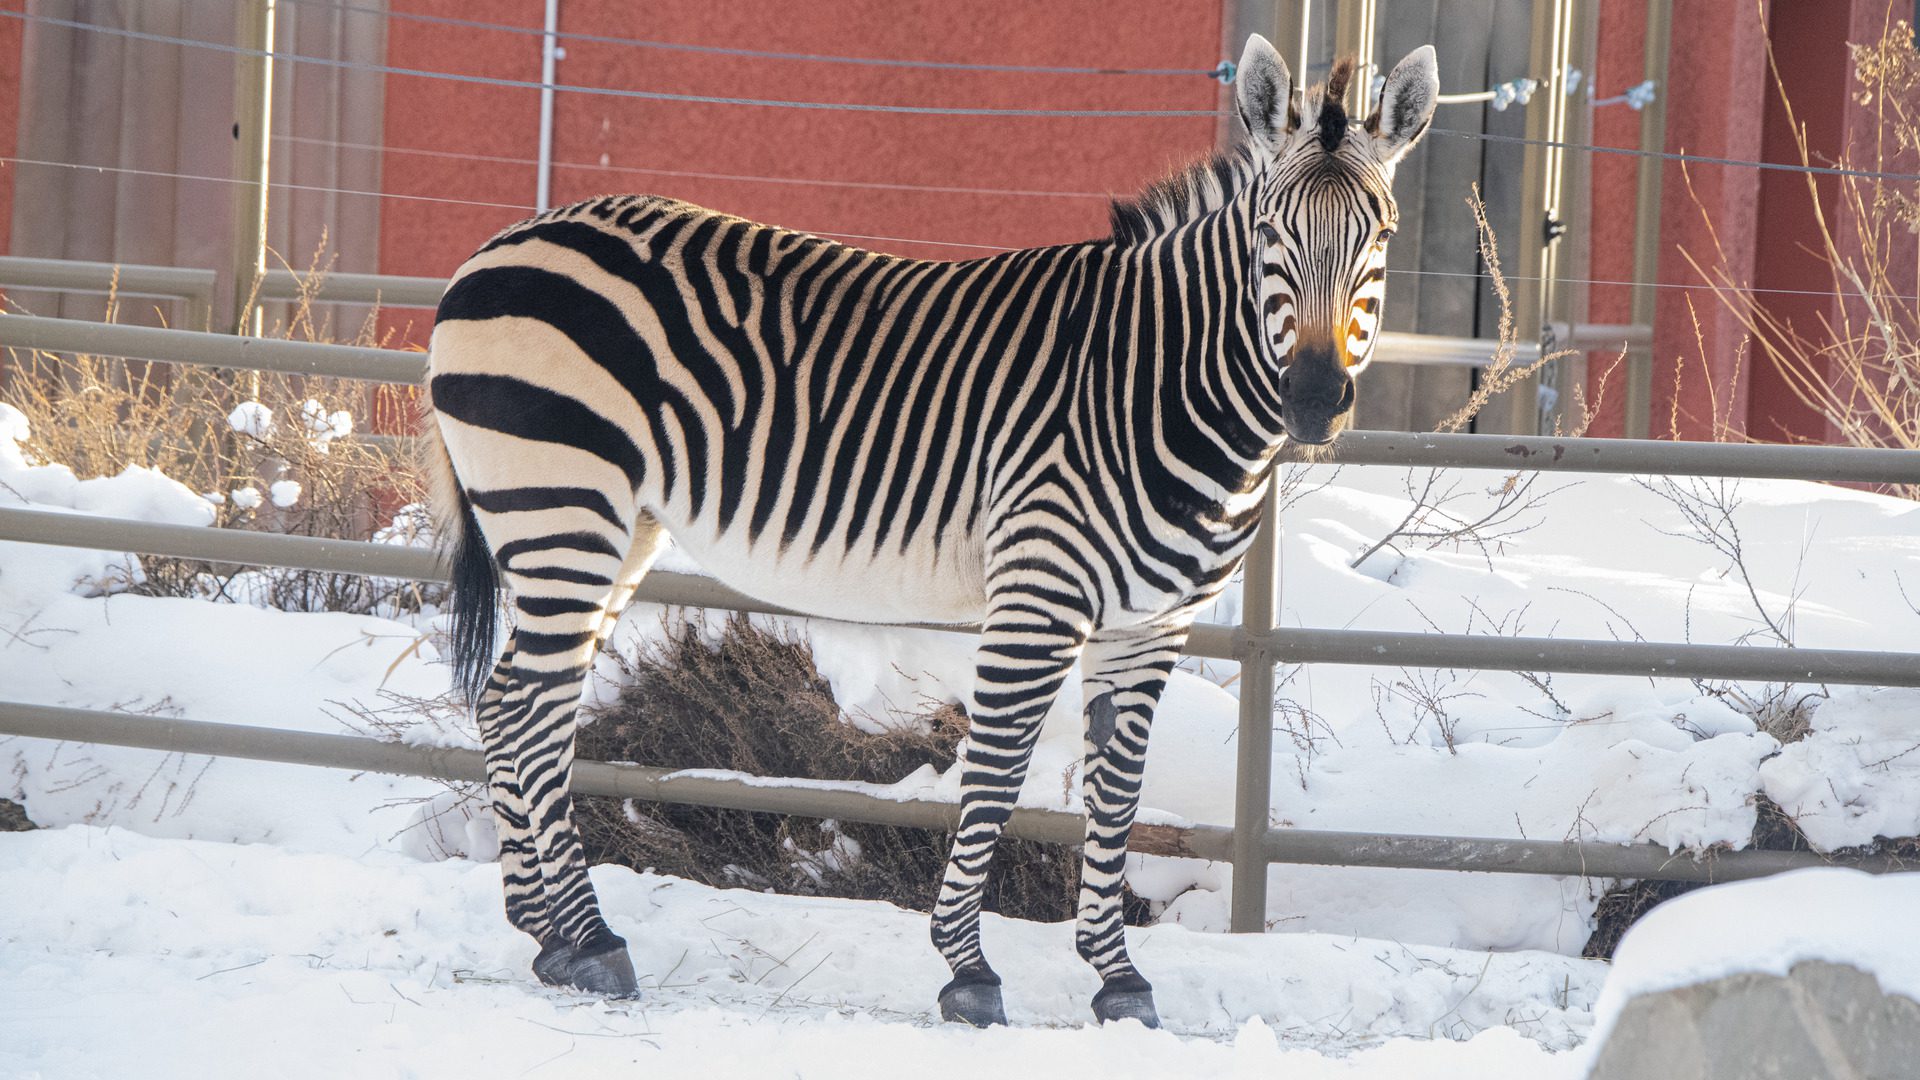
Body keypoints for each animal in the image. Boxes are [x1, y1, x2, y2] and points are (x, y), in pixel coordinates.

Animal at [422, 34, 1437, 1027]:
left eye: (1383, 235)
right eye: (1272, 232)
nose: (1314, 401)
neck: (1152, 378)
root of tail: (499, 243)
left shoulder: (1152, 623)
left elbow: (1115, 793)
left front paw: (1117, 980)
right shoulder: (1039, 592)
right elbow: (995, 772)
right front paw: (969, 969)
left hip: (613, 528)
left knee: (518, 704)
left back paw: (547, 934)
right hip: (561, 507)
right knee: (529, 706)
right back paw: (590, 940)